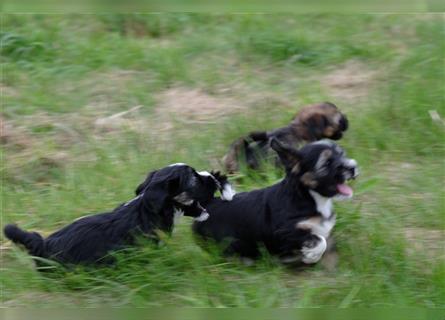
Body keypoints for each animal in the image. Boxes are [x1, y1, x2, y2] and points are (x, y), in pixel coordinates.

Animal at [193, 139, 358, 266]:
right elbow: (319, 240)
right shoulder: (284, 234)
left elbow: (328, 244)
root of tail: (208, 203)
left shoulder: (324, 228)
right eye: (327, 163)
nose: (353, 167)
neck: (310, 197)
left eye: (342, 154)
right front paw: (311, 257)